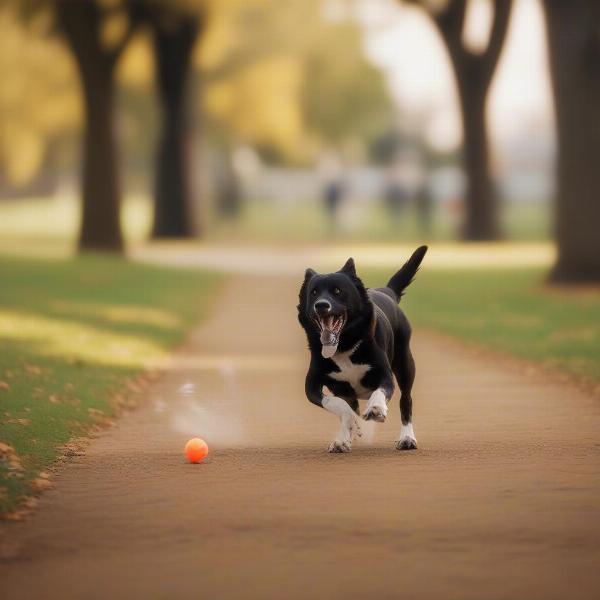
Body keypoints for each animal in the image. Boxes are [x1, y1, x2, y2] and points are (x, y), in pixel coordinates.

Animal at [298, 246, 428, 452]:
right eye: (314, 292)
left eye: (337, 290)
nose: (321, 305)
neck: (344, 346)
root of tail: (387, 291)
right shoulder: (311, 385)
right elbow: (339, 405)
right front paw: (349, 427)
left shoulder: (385, 376)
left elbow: (379, 392)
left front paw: (376, 409)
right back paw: (344, 438)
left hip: (405, 364)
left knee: (406, 401)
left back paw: (407, 438)